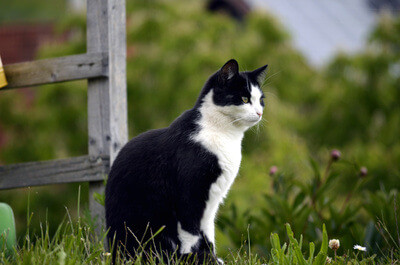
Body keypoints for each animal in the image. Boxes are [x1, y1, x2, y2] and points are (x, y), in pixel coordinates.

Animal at [106, 58, 268, 262]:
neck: (225, 134)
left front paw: (210, 256)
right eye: (245, 99)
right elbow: (190, 233)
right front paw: (194, 259)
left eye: (261, 101)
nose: (259, 113)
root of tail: (113, 254)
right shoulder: (189, 196)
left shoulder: (211, 202)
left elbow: (208, 232)